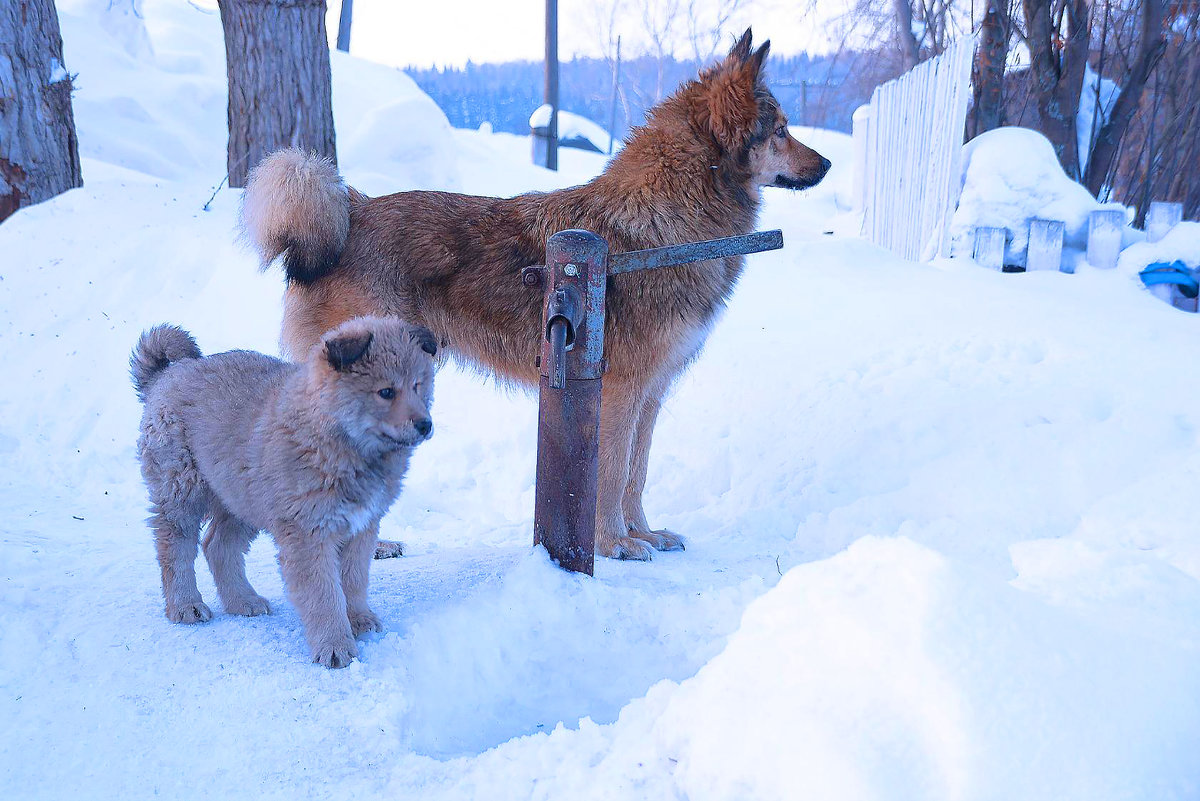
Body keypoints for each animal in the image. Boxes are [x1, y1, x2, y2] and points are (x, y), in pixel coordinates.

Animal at [130, 316, 436, 666]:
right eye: (386, 392)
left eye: (418, 385)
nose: (425, 425)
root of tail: (167, 374)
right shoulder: (308, 533)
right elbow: (324, 594)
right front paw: (335, 646)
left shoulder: (362, 526)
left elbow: (354, 580)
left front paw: (359, 620)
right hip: (182, 489)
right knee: (175, 549)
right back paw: (185, 605)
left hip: (241, 498)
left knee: (217, 546)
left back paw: (243, 601)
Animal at [240, 28, 830, 561]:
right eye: (781, 130)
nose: (825, 164)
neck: (665, 221)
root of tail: (349, 213)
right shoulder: (620, 391)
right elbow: (613, 474)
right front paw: (614, 544)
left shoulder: (651, 393)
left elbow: (636, 474)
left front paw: (645, 534)